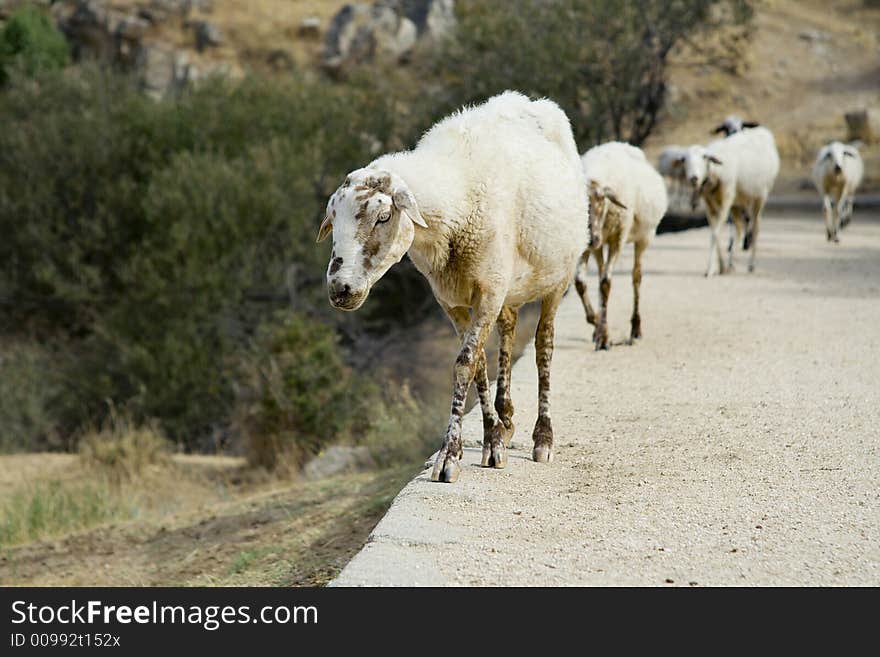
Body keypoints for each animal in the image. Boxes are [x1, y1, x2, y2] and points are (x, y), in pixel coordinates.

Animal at [316, 91, 592, 482]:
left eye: (383, 217)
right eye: (332, 220)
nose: (340, 288)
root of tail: (533, 101)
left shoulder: (489, 290)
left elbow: (465, 363)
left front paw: (450, 456)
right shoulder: (451, 299)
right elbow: (479, 364)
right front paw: (492, 440)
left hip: (559, 277)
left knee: (544, 346)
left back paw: (543, 437)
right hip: (509, 287)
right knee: (509, 331)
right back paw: (507, 417)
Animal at [576, 142, 668, 352]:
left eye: (601, 202)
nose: (590, 238)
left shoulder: (617, 238)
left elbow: (605, 284)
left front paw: (604, 337)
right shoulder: (589, 246)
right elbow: (580, 282)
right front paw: (596, 323)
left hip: (643, 237)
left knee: (636, 277)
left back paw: (636, 329)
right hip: (602, 245)